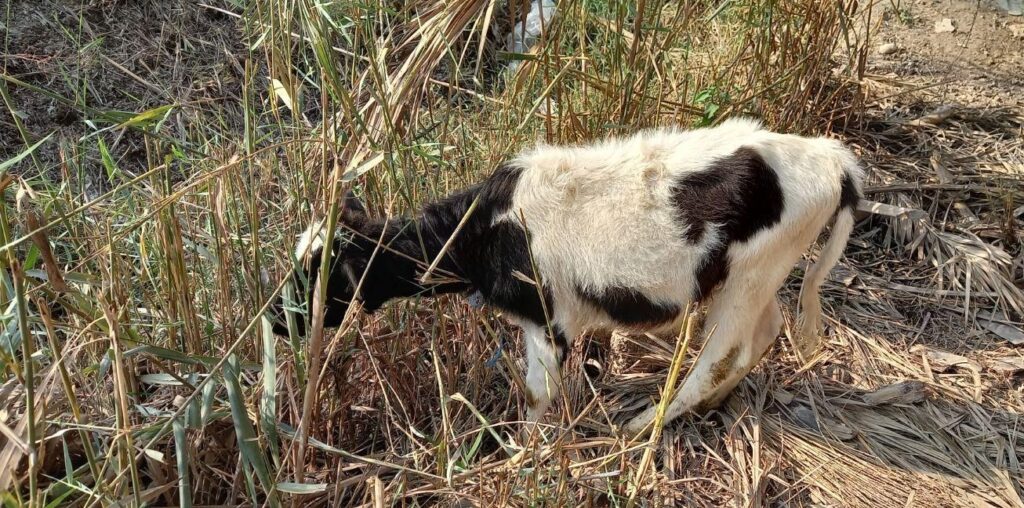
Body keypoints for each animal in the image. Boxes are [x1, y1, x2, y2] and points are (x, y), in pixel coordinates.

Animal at [270, 118, 856, 432]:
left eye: (318, 275)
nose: (277, 320)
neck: (487, 229)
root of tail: (832, 157)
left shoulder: (550, 321)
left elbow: (538, 396)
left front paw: (518, 455)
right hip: (756, 275)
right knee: (764, 332)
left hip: (747, 280)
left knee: (721, 356)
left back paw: (643, 426)